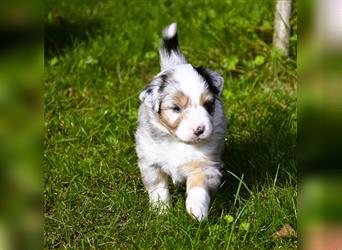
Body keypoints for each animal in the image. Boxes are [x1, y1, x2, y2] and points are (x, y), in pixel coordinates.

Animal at [134, 22, 227, 220]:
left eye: (208, 104)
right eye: (176, 108)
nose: (199, 129)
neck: (178, 141)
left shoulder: (206, 165)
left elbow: (198, 187)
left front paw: (197, 211)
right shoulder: (150, 161)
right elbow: (158, 188)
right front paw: (161, 211)